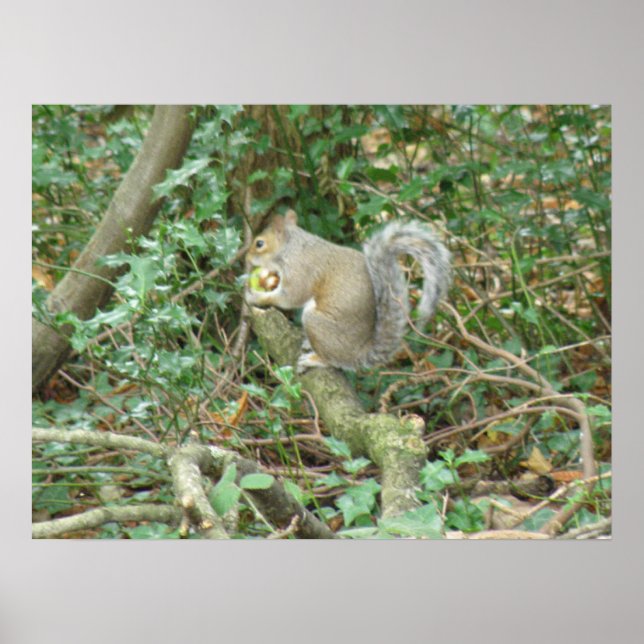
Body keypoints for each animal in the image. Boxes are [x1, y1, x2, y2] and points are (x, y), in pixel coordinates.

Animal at [244, 209, 451, 371]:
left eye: (259, 243)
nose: (247, 258)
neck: (292, 248)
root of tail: (357, 353)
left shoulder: (300, 271)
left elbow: (290, 297)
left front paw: (257, 297)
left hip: (316, 323)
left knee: (332, 361)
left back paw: (315, 359)